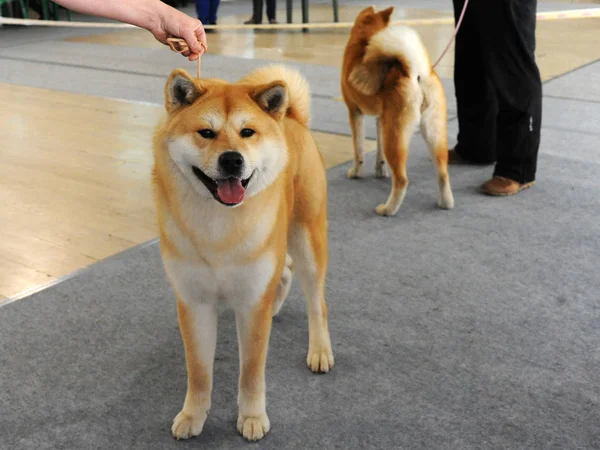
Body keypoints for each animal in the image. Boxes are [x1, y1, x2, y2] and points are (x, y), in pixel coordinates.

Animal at [151, 65, 332, 442]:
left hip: (307, 239)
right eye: (206, 133)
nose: (232, 159)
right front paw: (192, 416)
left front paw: (251, 417)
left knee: (316, 303)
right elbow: (199, 371)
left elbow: (250, 371)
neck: (219, 225)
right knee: (285, 271)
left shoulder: (250, 304)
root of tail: (291, 117)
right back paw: (276, 306)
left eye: (247, 132)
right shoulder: (195, 303)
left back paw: (320, 350)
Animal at [342, 5, 454, 216]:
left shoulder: (355, 112)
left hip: (395, 134)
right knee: (443, 172)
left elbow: (358, 149)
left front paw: (356, 172)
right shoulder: (380, 119)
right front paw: (380, 171)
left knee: (402, 179)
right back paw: (446, 203)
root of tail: (415, 72)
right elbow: (378, 152)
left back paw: (388, 209)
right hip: (433, 131)